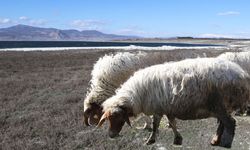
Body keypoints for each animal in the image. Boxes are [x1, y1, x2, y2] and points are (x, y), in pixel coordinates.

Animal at [97, 57, 250, 148]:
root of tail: (241, 74)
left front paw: (150, 140)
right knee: (222, 124)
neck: (137, 94)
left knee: (230, 123)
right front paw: (177, 139)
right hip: (221, 106)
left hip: (220, 105)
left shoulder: (158, 109)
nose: (111, 135)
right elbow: (172, 123)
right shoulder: (166, 108)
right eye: (108, 118)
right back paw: (215, 140)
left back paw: (226, 143)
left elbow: (155, 126)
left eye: (118, 117)